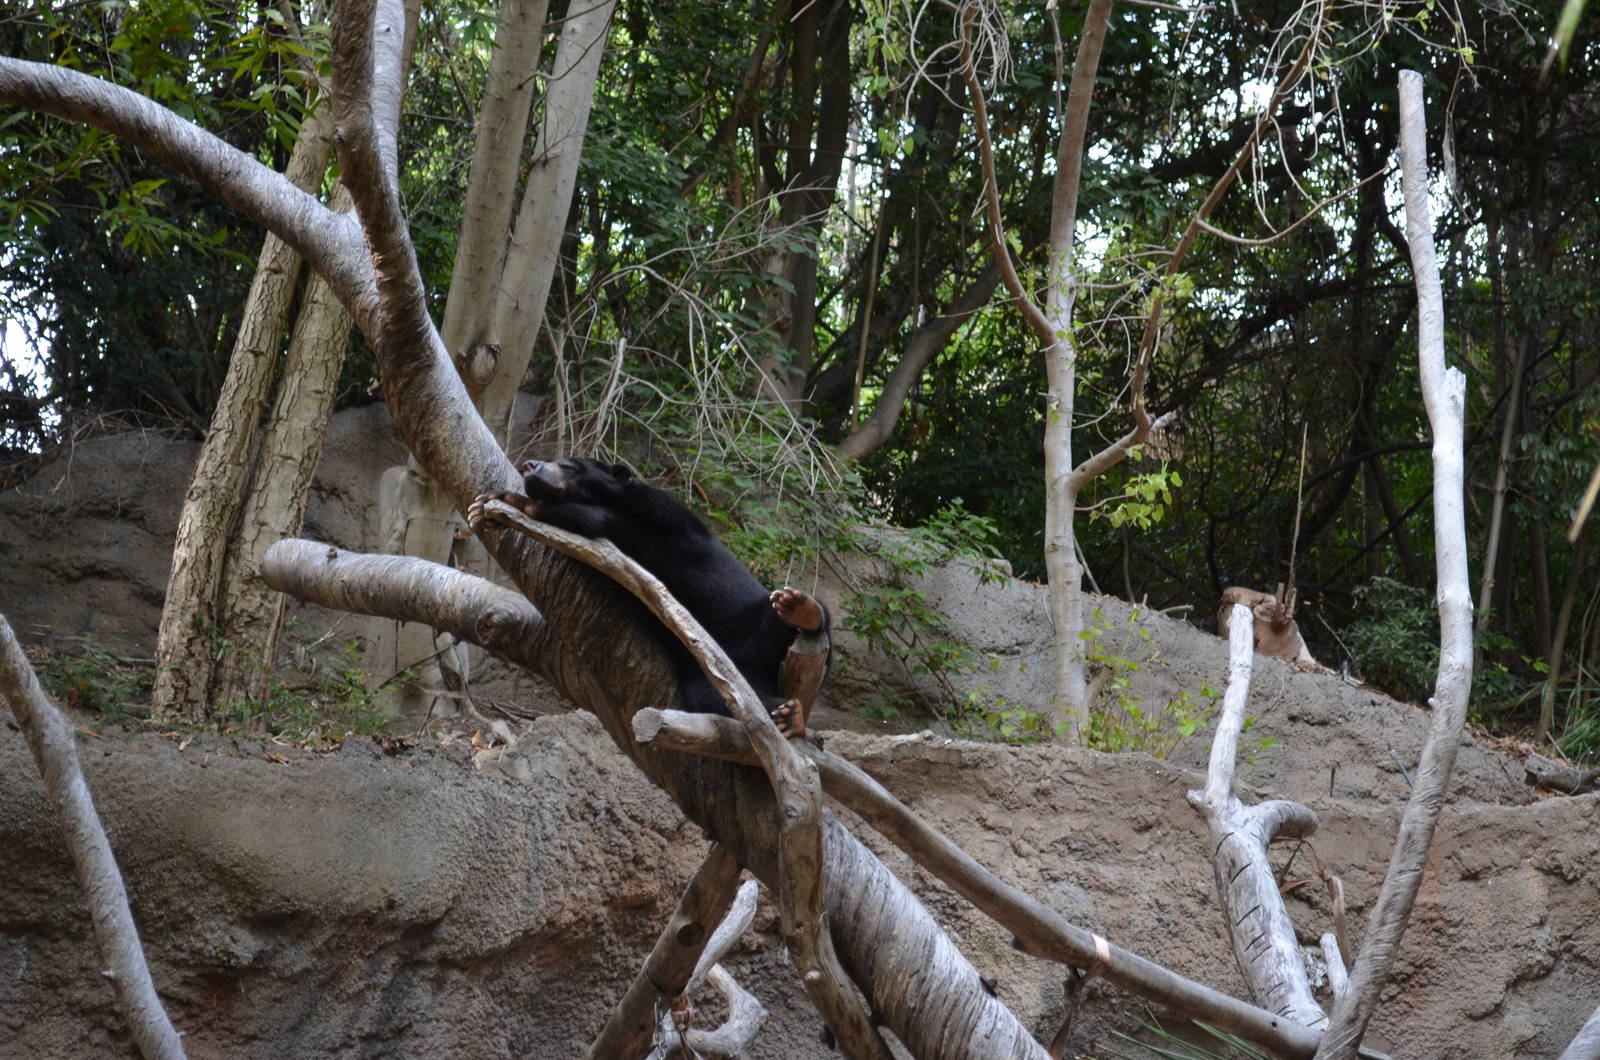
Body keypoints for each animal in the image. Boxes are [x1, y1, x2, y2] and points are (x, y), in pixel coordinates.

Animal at [467, 457, 830, 736]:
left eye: (569, 466)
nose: (531, 465)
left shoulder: (658, 508)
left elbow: (603, 521)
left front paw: (514, 501)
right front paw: (483, 507)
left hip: (755, 622)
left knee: (793, 617)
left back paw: (800, 609)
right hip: (713, 674)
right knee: (716, 697)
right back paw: (786, 715)